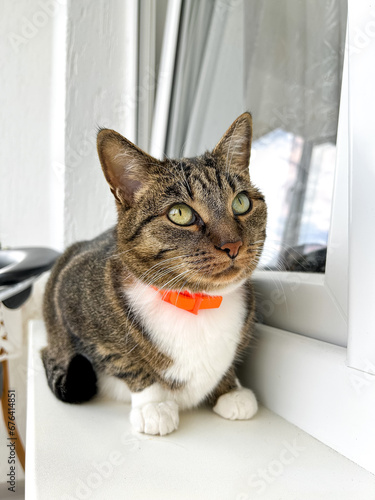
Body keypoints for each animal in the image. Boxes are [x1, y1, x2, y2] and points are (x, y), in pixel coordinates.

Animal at [41, 112, 268, 434]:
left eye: (241, 202)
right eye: (180, 213)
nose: (233, 245)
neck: (195, 302)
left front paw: (231, 389)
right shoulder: (71, 296)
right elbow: (125, 361)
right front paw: (154, 405)